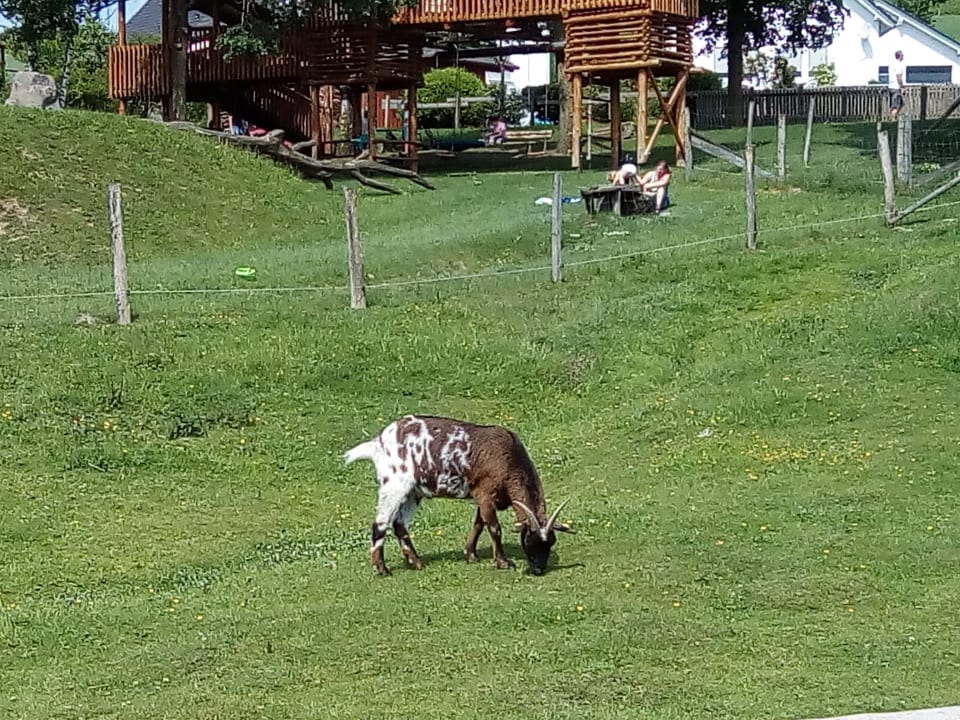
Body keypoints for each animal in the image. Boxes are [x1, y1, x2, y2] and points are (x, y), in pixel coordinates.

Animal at [343, 414, 574, 576]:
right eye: (529, 541)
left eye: (551, 542)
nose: (539, 570)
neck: (509, 460)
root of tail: (377, 443)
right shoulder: (485, 493)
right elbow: (494, 528)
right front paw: (502, 562)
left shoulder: (484, 497)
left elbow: (479, 524)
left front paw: (471, 555)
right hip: (394, 485)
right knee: (380, 523)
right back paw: (382, 569)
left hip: (412, 492)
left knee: (399, 524)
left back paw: (416, 563)